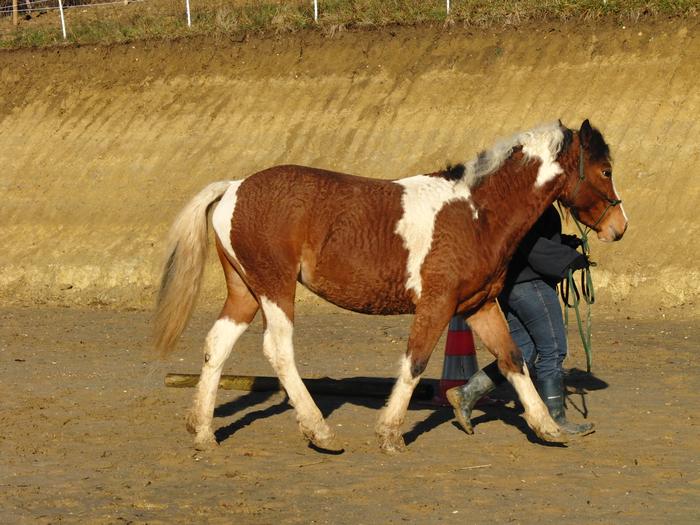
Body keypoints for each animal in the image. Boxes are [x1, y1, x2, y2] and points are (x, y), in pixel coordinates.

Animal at [154, 118, 628, 450]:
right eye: (605, 170)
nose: (619, 228)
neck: (477, 214)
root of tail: (234, 188)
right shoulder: (437, 304)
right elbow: (415, 362)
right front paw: (390, 433)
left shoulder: (478, 306)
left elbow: (513, 360)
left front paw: (547, 427)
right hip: (275, 288)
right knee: (278, 350)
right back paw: (320, 432)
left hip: (246, 291)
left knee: (217, 345)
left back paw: (204, 433)